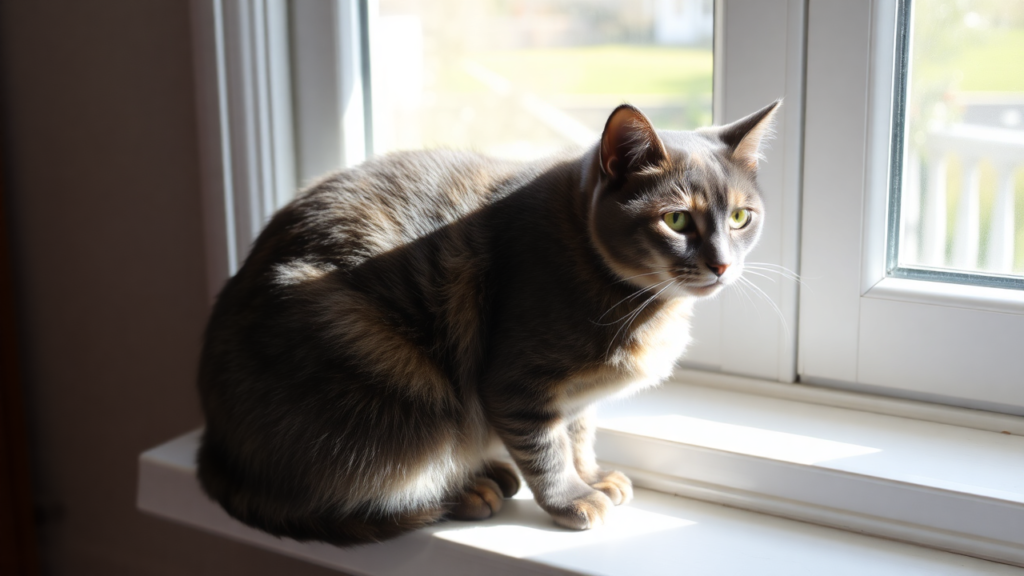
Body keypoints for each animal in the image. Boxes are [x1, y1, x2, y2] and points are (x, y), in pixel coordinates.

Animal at [195, 98, 778, 541]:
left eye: (740, 217)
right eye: (676, 219)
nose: (722, 264)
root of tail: (219, 448)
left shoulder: (574, 399)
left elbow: (580, 434)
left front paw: (593, 476)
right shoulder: (514, 385)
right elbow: (547, 452)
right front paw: (574, 498)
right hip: (394, 377)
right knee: (359, 490)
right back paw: (469, 489)